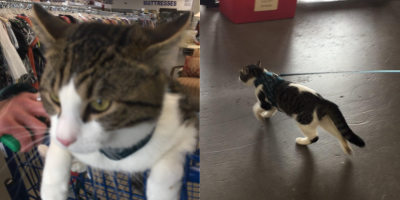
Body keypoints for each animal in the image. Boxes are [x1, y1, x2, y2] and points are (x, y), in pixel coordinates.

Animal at [32, 4, 198, 200]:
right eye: (55, 97)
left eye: (100, 103)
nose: (65, 139)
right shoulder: (57, 128)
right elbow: (55, 147)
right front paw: (52, 188)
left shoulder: (187, 124)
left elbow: (169, 163)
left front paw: (162, 191)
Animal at [239, 60, 368, 155]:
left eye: (241, 74)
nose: (238, 77)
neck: (261, 75)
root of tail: (322, 100)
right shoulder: (273, 104)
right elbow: (271, 111)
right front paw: (266, 116)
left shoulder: (265, 102)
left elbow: (255, 108)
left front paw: (260, 117)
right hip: (325, 121)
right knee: (340, 133)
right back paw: (347, 148)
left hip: (304, 122)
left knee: (315, 137)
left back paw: (301, 141)